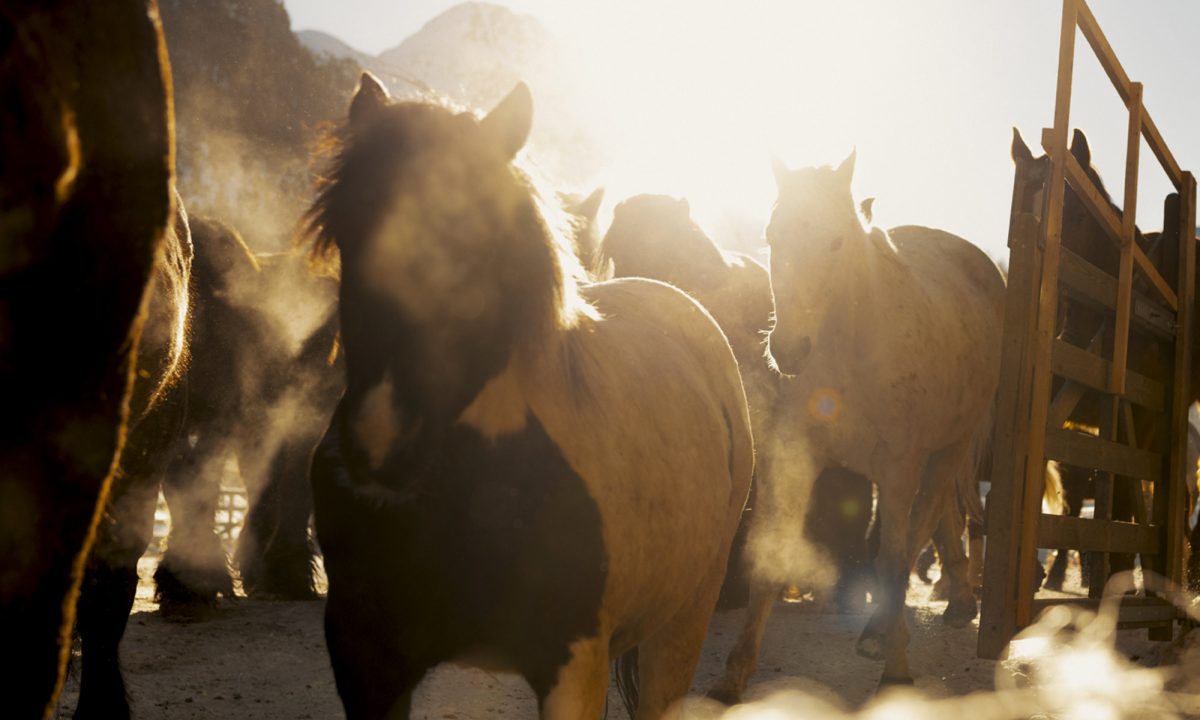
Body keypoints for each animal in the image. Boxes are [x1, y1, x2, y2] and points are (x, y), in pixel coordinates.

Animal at [302, 74, 748, 720]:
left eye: (479, 241)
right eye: (347, 235)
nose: (380, 446)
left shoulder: (574, 667)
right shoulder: (365, 660)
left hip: (682, 625)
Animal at [705, 148, 1008, 696]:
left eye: (835, 240)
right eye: (772, 236)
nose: (788, 349)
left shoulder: (898, 468)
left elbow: (891, 558)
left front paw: (897, 668)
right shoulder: (797, 459)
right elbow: (774, 557)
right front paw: (732, 675)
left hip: (950, 446)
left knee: (927, 519)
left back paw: (898, 625)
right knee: (942, 518)